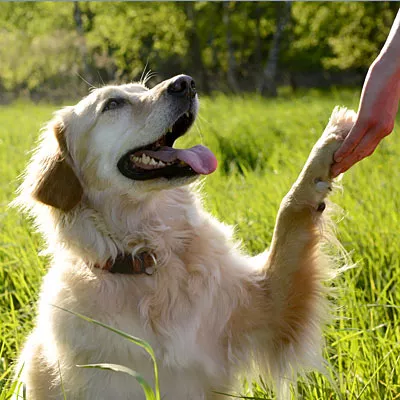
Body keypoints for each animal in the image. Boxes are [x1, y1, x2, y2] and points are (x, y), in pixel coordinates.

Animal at [14, 76, 354, 400]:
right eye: (112, 104)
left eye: (144, 88)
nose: (185, 83)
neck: (152, 258)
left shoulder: (269, 309)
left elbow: (289, 214)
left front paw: (332, 139)